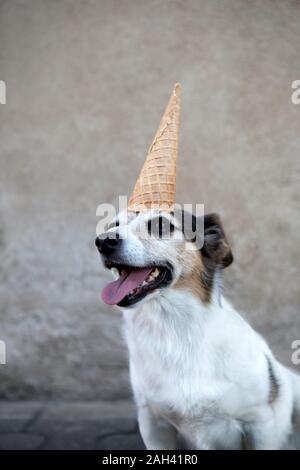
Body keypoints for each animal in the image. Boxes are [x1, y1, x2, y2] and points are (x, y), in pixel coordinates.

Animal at [96, 210, 300, 452]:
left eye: (161, 224)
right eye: (113, 225)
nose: (103, 241)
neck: (175, 330)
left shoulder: (259, 423)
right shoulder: (153, 424)